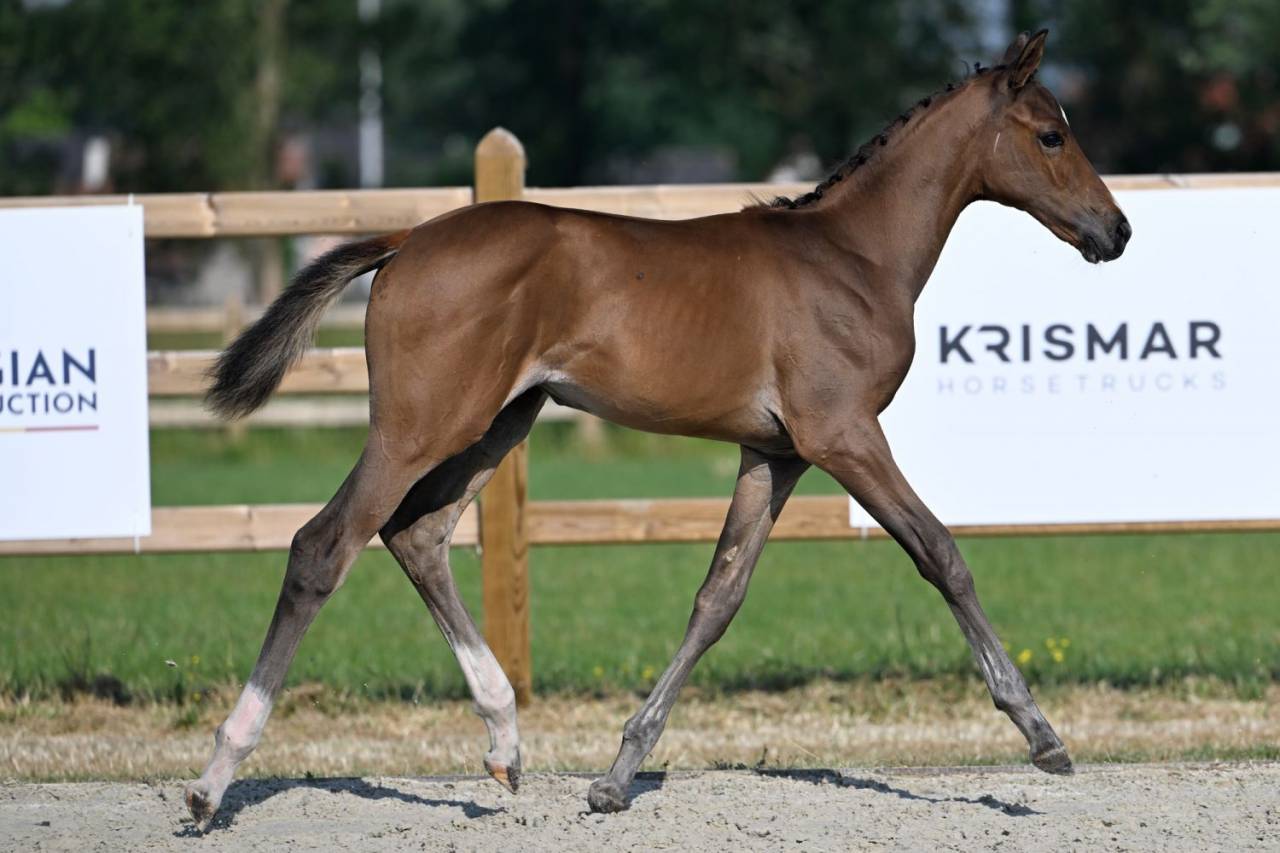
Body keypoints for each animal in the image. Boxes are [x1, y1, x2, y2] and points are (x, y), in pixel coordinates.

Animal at [186, 30, 1130, 825]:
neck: (854, 258)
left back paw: (505, 740)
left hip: (500, 422)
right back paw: (213, 780)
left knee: (417, 535)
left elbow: (717, 598)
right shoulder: (843, 435)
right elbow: (942, 554)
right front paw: (1043, 735)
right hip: (421, 424)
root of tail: (408, 239)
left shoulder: (774, 453)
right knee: (324, 544)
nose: (1115, 230)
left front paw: (616, 774)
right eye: (1051, 135)